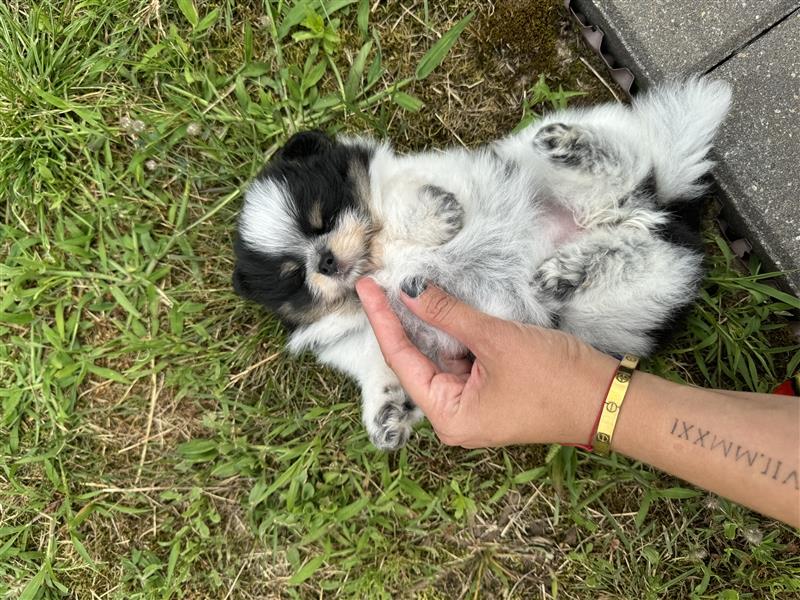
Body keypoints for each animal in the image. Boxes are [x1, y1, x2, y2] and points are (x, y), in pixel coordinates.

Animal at [231, 76, 732, 450]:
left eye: (324, 218)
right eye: (295, 275)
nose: (326, 260)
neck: (373, 267)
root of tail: (659, 212)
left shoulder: (405, 178)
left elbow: (399, 203)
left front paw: (439, 216)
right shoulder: (368, 339)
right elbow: (378, 365)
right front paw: (386, 412)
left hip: (542, 161)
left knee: (624, 167)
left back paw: (570, 146)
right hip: (606, 307)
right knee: (623, 250)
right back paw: (568, 269)